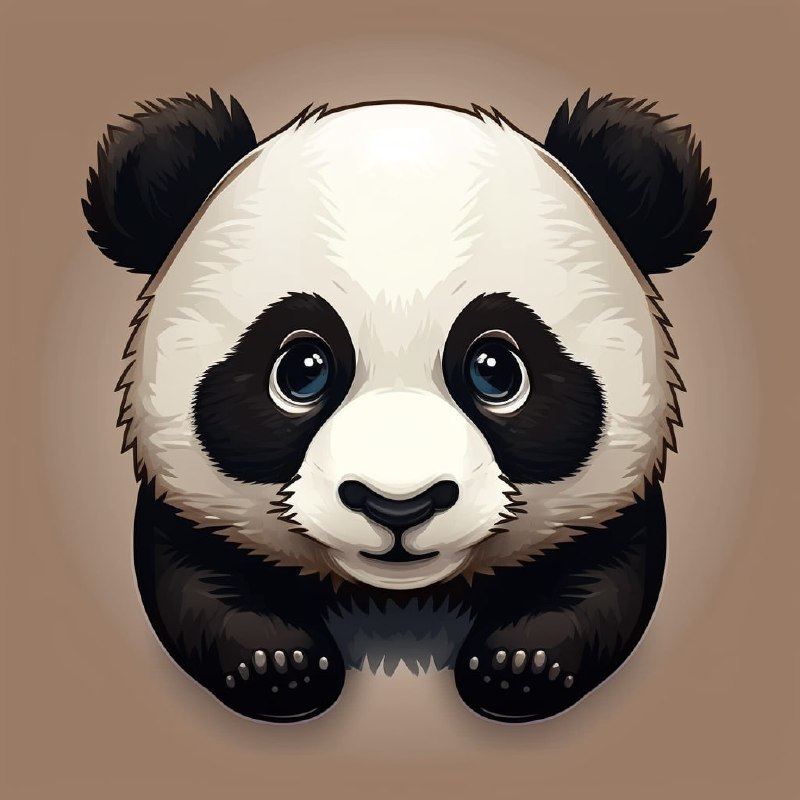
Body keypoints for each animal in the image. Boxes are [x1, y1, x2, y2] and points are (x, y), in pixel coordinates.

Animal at [83, 89, 714, 723]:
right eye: (301, 370)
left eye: (496, 371)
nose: (399, 507)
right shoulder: (184, 505)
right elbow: (193, 578)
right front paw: (279, 665)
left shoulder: (615, 502)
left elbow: (606, 577)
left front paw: (520, 665)